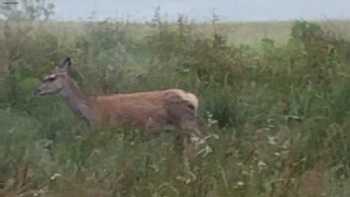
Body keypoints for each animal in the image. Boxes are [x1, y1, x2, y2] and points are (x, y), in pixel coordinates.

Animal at [33, 57, 213, 182]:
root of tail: (193, 99)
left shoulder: (105, 130)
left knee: (205, 144)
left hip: (188, 124)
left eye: (51, 78)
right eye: (45, 76)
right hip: (180, 131)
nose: (38, 90)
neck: (92, 109)